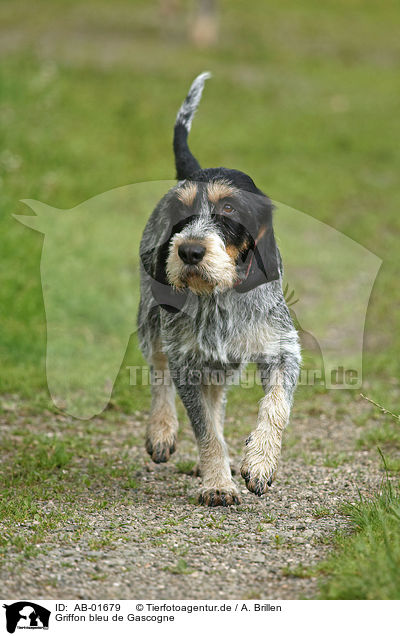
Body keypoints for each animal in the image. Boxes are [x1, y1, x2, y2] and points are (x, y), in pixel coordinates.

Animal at [138, 71, 300, 506]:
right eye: (180, 211)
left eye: (229, 209)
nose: (189, 251)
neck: (219, 296)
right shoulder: (187, 362)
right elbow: (204, 428)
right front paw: (217, 484)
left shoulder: (283, 350)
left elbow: (276, 406)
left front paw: (259, 462)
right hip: (151, 317)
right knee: (158, 369)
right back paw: (162, 431)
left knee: (219, 400)